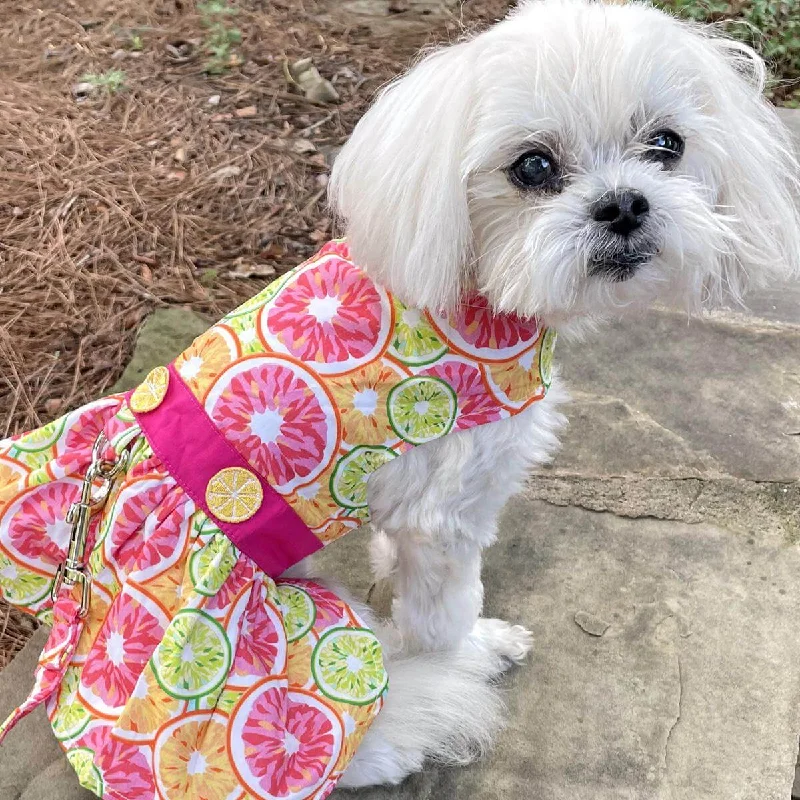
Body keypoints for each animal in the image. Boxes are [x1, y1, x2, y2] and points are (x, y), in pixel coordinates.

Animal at [296, 0, 800, 788]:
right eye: (532, 166)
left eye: (667, 144)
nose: (623, 205)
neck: (476, 298)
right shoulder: (446, 509)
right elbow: (442, 614)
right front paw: (469, 651)